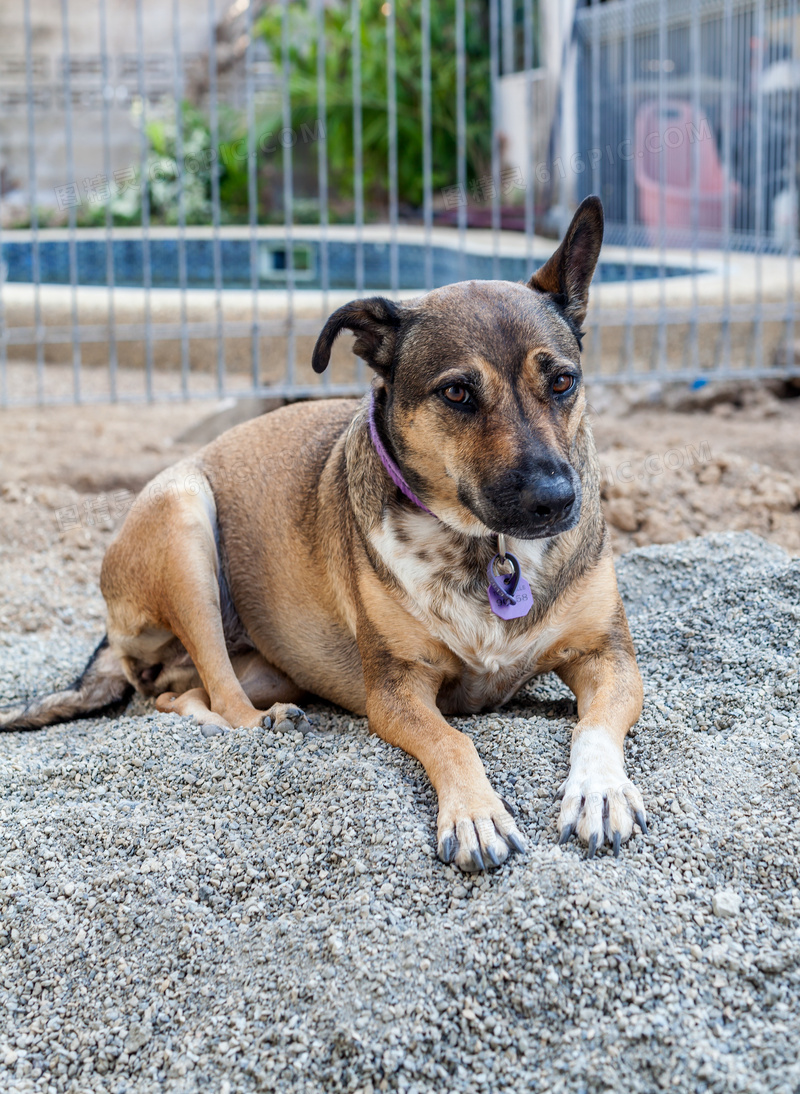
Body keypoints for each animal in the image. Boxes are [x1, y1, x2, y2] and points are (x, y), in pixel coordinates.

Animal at [0, 199, 647, 870]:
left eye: (563, 382)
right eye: (457, 392)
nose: (556, 500)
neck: (488, 548)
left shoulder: (610, 657)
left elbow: (593, 724)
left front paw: (600, 793)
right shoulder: (394, 689)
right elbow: (454, 741)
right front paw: (475, 815)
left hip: (268, 662)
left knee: (175, 698)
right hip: (183, 516)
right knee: (220, 696)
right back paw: (266, 722)